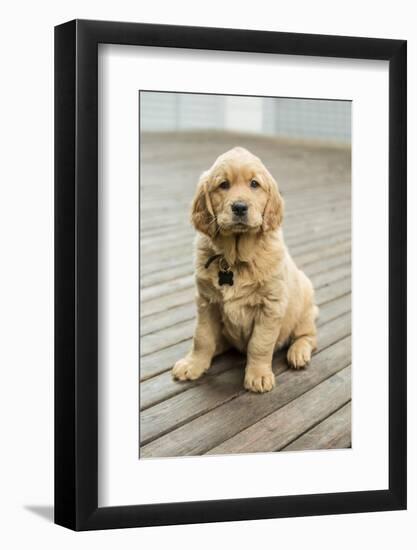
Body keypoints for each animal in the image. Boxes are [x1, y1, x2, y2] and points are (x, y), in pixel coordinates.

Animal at [171, 149, 316, 394]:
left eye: (254, 184)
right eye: (223, 185)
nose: (239, 207)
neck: (235, 259)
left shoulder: (270, 306)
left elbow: (260, 344)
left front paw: (258, 376)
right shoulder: (207, 302)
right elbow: (202, 337)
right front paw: (193, 364)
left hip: (304, 308)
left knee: (309, 336)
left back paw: (298, 353)